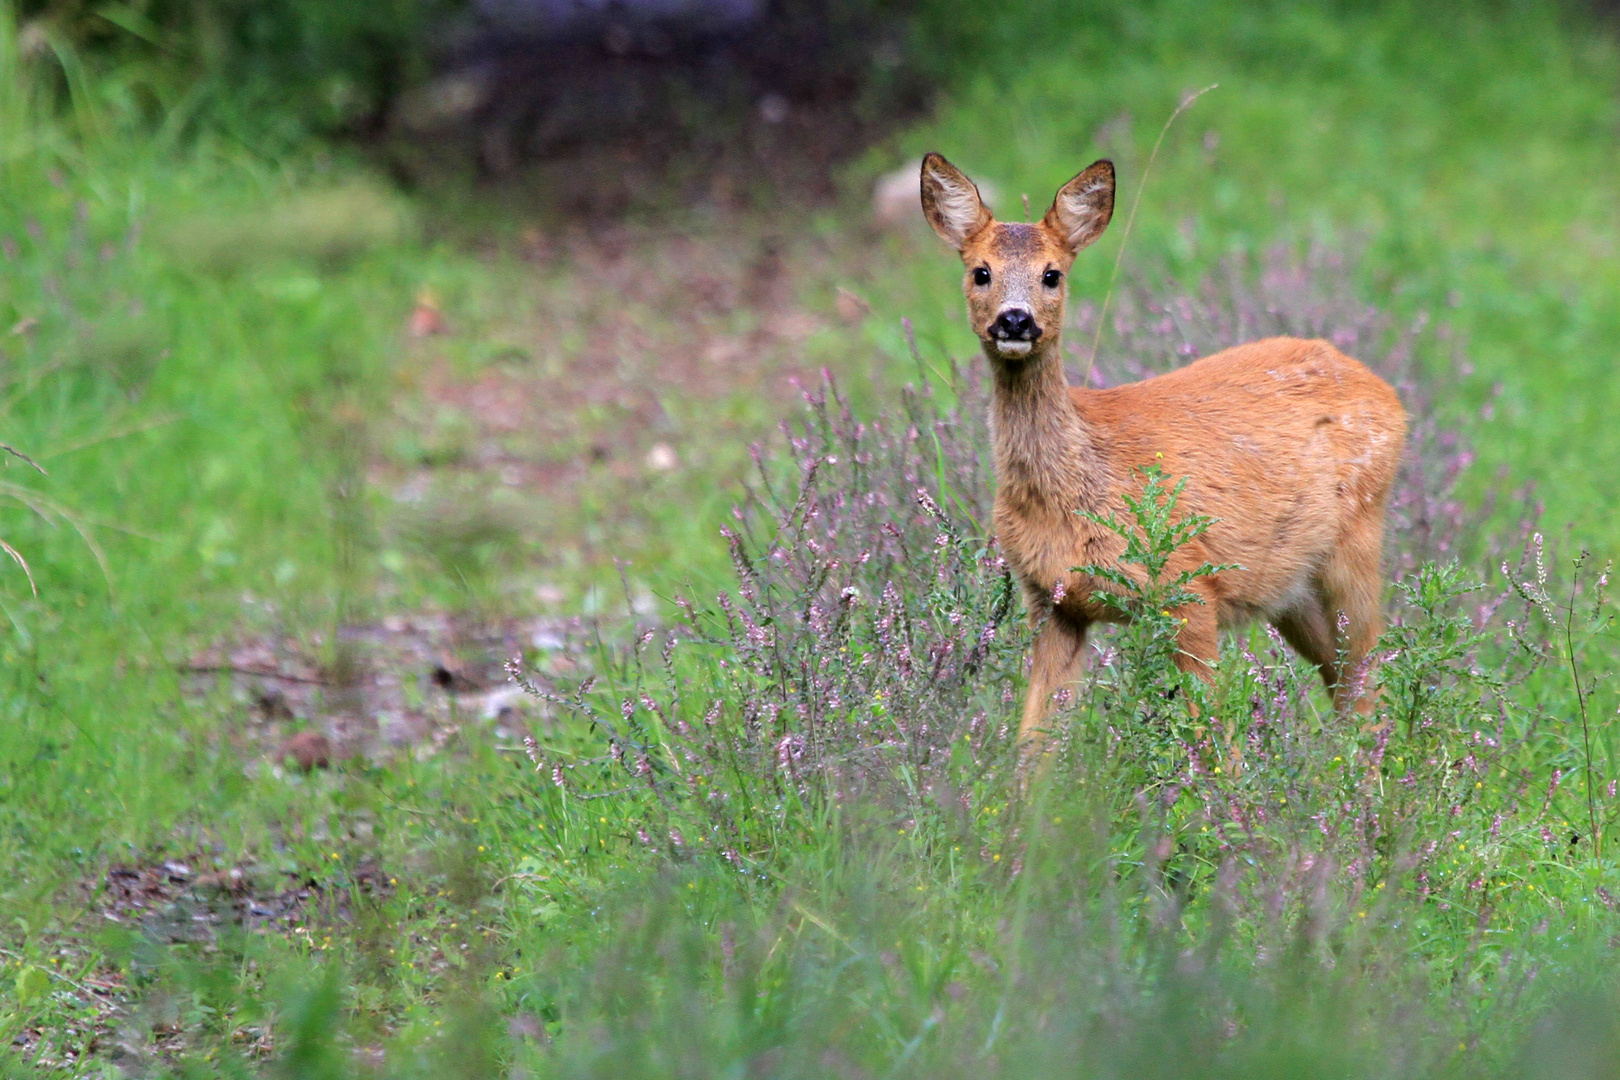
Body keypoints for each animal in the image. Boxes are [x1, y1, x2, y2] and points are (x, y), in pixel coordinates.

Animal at [926, 153, 1406, 761]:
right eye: (980, 271)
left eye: (1053, 274)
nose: (1015, 320)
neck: (1078, 486)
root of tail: (1386, 393)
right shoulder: (1053, 604)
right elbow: (1033, 747)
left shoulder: (1189, 589)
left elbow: (1214, 744)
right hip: (1289, 585)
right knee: (1344, 680)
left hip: (1356, 542)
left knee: (1367, 674)